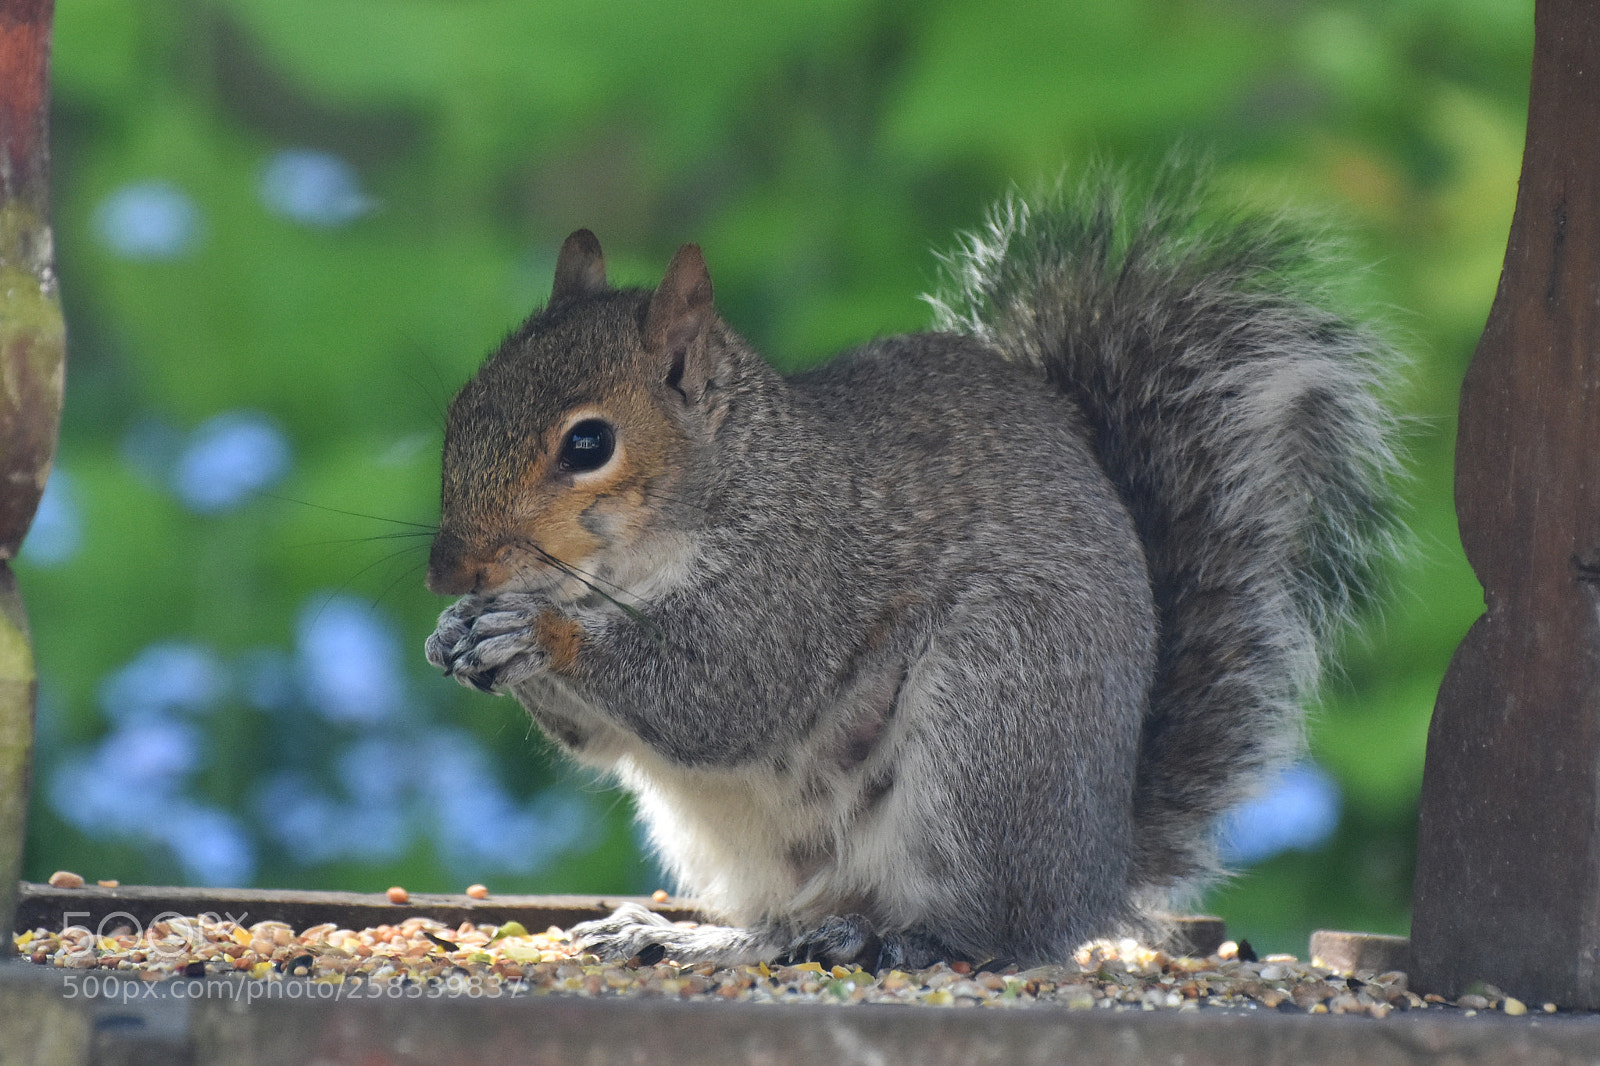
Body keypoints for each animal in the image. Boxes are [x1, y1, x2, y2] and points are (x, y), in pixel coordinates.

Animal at [423, 163, 1400, 970]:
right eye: (461, 405)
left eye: (589, 444)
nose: (449, 574)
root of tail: (1096, 875)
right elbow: (603, 738)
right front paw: (456, 637)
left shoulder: (800, 576)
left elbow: (716, 694)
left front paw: (539, 634)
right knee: (783, 921)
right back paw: (693, 936)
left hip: (992, 720)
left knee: (986, 931)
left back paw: (897, 939)